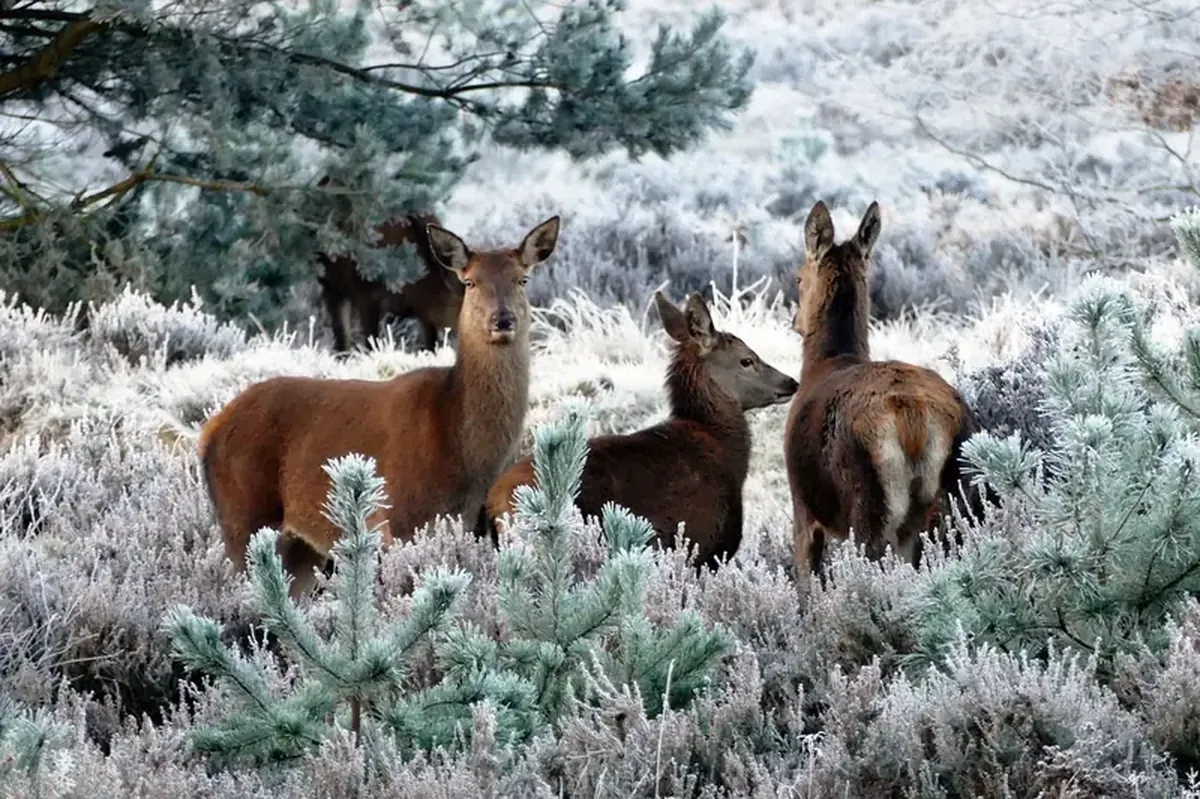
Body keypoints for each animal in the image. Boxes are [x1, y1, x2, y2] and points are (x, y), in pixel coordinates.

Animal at [200, 216, 561, 598]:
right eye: (470, 282)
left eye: (522, 279)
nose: (502, 319)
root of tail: (209, 432)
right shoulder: (398, 518)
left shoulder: (466, 522)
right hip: (243, 516)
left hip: (301, 547)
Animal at [314, 177, 464, 353]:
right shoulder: (365, 295)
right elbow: (371, 343)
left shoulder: (425, 313)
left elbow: (430, 347)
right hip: (331, 284)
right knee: (341, 339)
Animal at [783, 200, 989, 601]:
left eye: (798, 277)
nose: (795, 321)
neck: (825, 362)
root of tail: (915, 418)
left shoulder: (802, 507)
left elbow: (805, 586)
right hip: (958, 499)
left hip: (869, 503)